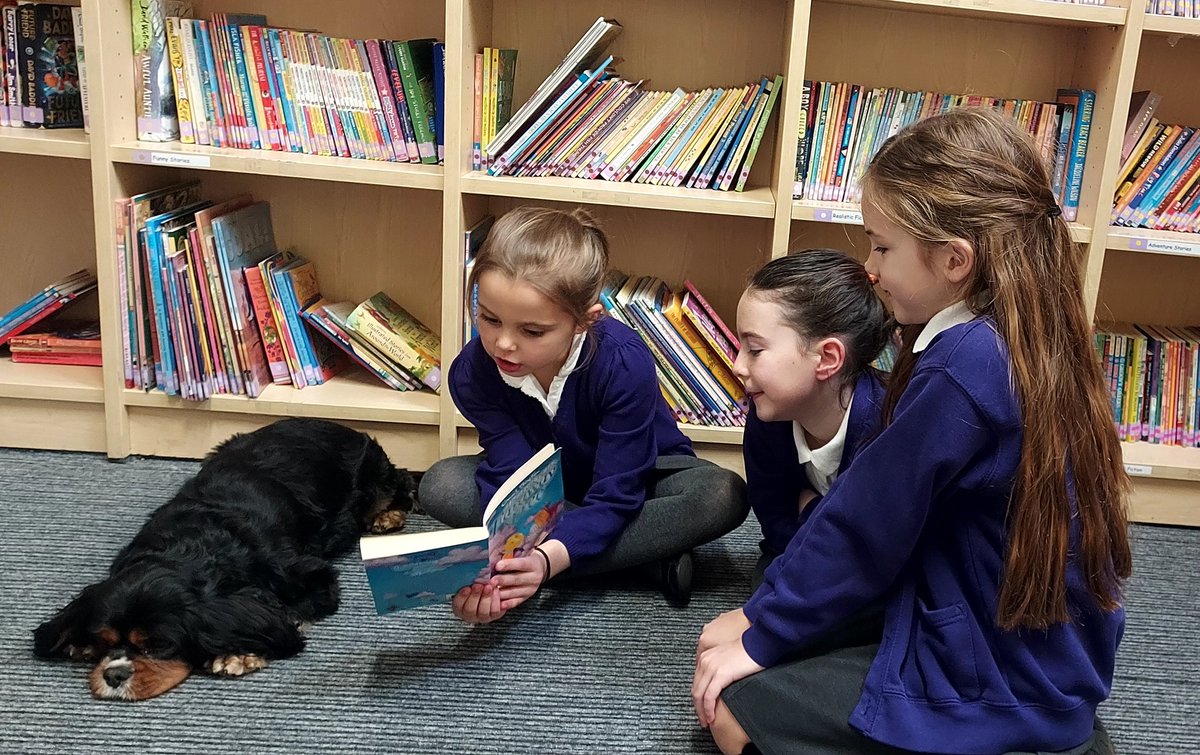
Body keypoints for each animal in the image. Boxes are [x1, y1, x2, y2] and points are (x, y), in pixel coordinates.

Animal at [34, 415, 417, 696]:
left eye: (159, 645)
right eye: (104, 641)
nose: (114, 676)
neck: (191, 548)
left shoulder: (312, 576)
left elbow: (283, 612)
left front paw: (240, 653)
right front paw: (79, 644)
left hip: (373, 472)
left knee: (399, 484)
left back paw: (387, 516)